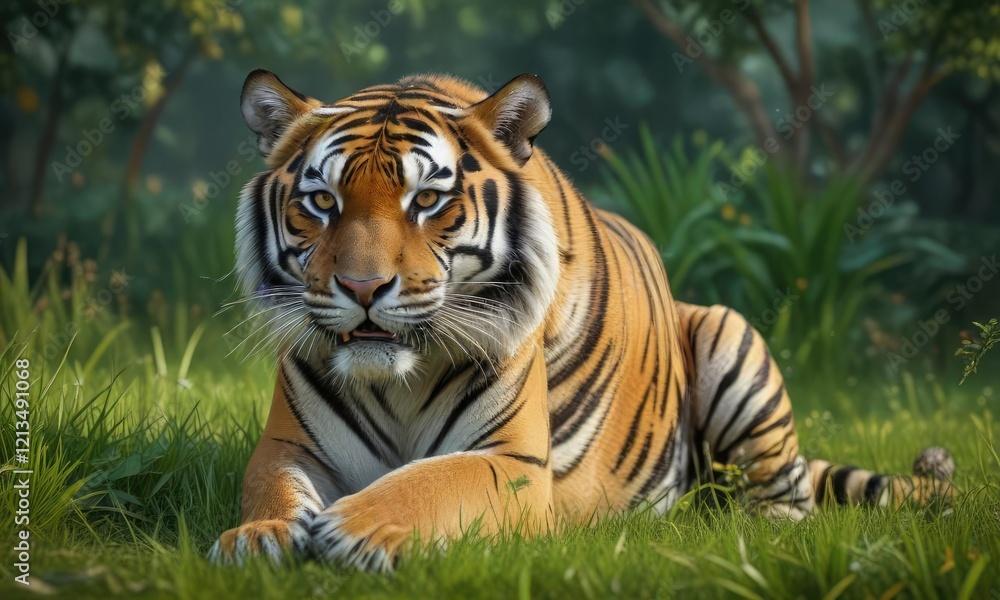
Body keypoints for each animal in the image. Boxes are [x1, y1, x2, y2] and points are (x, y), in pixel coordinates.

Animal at [209, 69, 954, 570]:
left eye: (426, 201)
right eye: (322, 202)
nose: (363, 287)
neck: (397, 380)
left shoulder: (511, 462)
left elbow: (430, 481)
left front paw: (357, 528)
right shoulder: (289, 446)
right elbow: (269, 488)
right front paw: (258, 538)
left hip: (728, 334)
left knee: (788, 501)